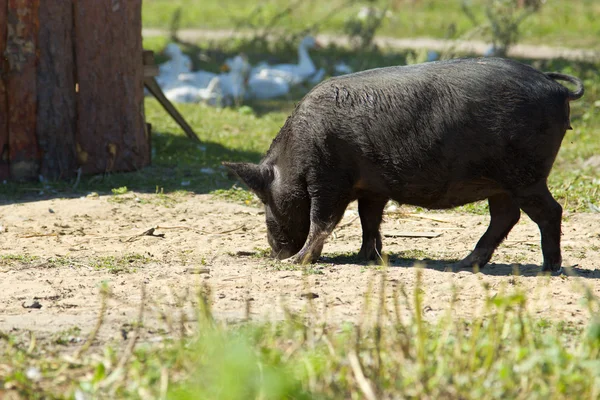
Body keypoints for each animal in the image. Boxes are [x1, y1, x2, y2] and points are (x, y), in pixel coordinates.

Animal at [224, 57, 580, 272]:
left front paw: (297, 262)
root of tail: (555, 87)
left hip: (526, 176)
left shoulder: (328, 179)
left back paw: (549, 268)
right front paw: (367, 257)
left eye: (266, 201)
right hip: (504, 184)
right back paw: (465, 263)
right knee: (506, 217)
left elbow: (323, 220)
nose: (276, 253)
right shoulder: (371, 187)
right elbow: (369, 220)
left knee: (550, 212)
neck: (293, 157)